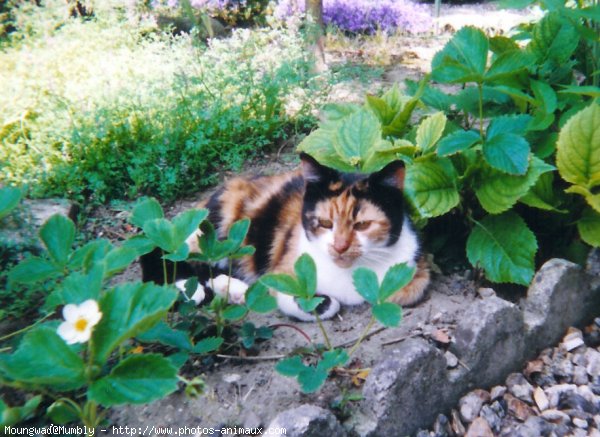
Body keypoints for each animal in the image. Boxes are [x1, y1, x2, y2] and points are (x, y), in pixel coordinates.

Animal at [142, 153, 432, 320]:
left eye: (362, 225)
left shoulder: (416, 272)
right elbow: (319, 302)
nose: (339, 247)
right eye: (325, 223)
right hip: (215, 227)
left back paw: (233, 289)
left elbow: (411, 290)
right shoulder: (282, 269)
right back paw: (190, 288)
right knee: (161, 249)